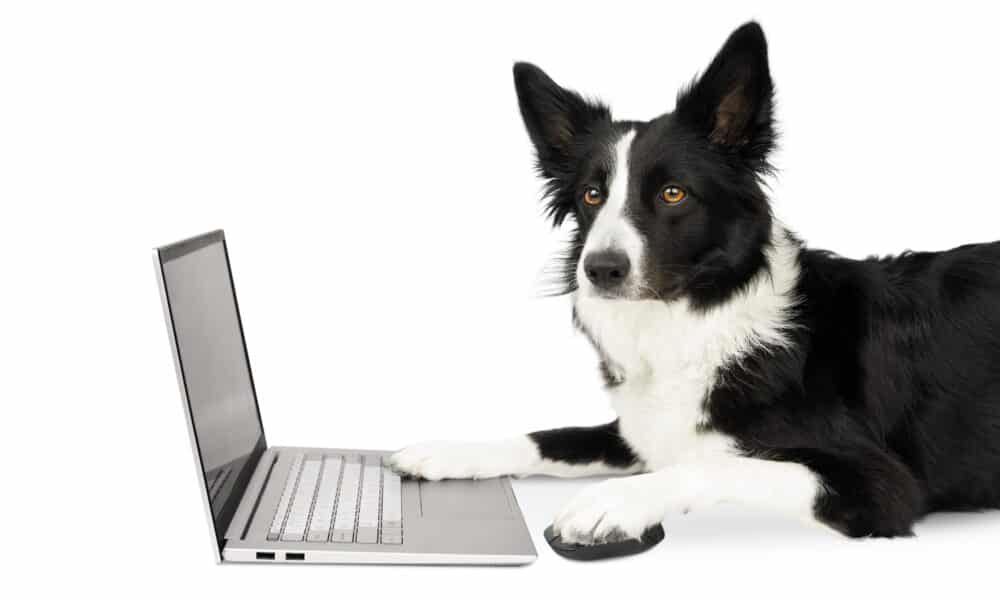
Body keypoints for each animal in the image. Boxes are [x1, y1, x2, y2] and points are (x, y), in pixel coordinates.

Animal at [388, 21, 1000, 540]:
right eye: (592, 195)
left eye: (672, 193)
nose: (600, 269)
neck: (690, 320)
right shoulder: (644, 429)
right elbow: (556, 437)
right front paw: (448, 451)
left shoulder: (879, 483)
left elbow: (718, 466)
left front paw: (613, 502)